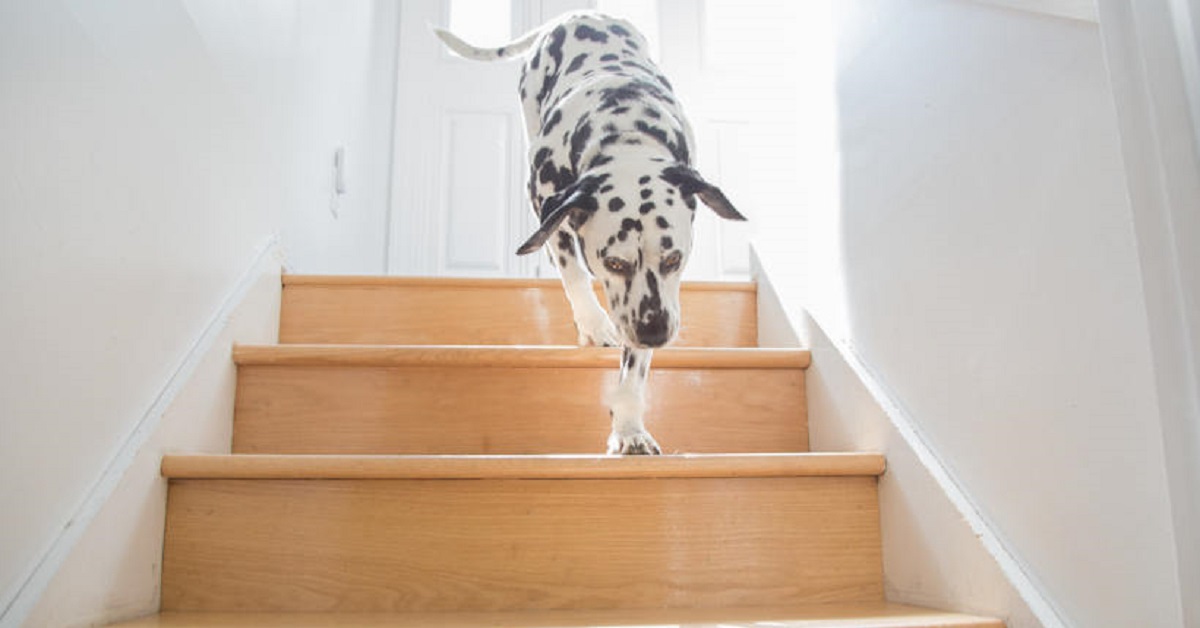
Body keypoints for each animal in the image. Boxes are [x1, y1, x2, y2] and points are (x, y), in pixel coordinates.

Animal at [436, 12, 744, 453]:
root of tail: (574, 15)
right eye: (613, 262)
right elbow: (574, 275)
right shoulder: (550, 203)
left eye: (674, 259)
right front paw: (594, 325)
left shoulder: (647, 301)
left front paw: (630, 427)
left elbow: (634, 369)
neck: (626, 129)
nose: (655, 332)